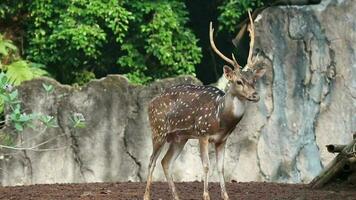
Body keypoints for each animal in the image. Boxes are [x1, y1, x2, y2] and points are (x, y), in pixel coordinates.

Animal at [144, 11, 264, 200]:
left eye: (254, 80)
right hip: (158, 130)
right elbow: (206, 166)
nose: (255, 95)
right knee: (151, 160)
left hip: (179, 137)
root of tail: (149, 104)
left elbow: (221, 168)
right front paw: (206, 195)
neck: (220, 117)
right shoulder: (203, 133)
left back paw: (176, 197)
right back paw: (146, 196)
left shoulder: (222, 139)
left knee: (166, 161)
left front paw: (225, 196)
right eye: (239, 81)